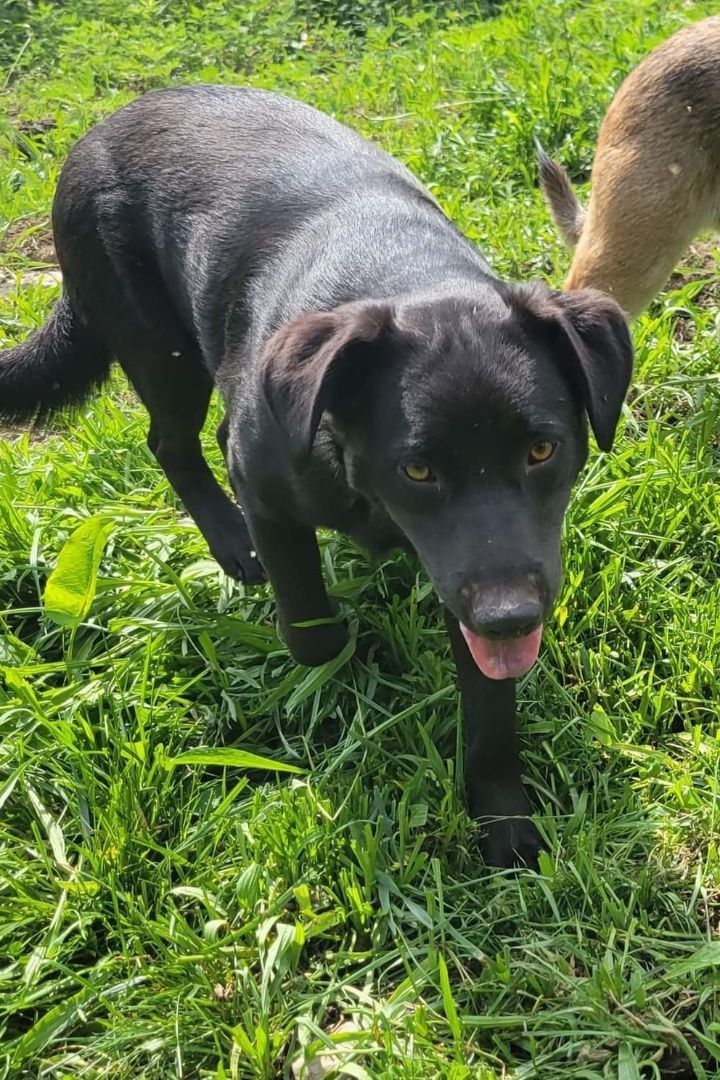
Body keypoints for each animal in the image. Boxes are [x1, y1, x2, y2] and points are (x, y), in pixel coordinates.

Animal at [0, 86, 630, 868]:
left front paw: (503, 820)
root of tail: (104, 127)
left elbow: (489, 705)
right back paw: (232, 544)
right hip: (158, 346)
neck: (411, 275)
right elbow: (312, 630)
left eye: (542, 451)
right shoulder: (273, 490)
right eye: (417, 468)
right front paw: (345, 658)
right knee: (172, 441)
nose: (510, 617)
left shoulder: (477, 568)